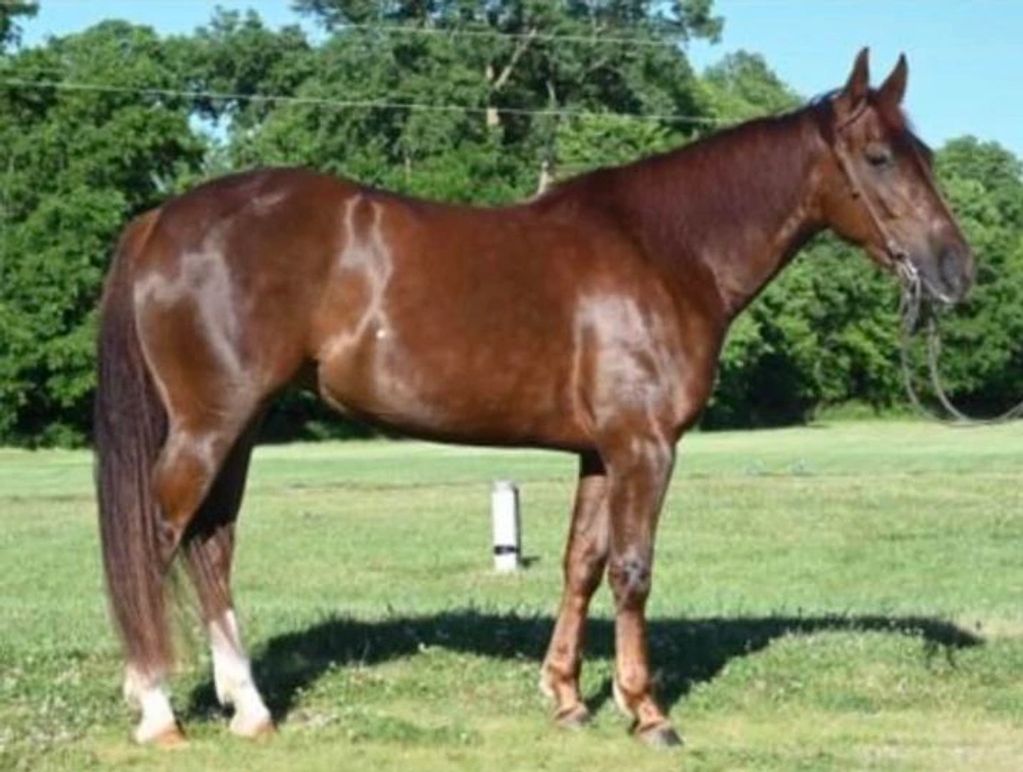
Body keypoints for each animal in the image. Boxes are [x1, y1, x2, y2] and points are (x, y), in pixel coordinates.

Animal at [94, 49, 973, 748]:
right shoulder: (644, 448)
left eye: (924, 152)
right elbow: (632, 570)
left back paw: (249, 709)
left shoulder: (599, 452)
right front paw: (645, 712)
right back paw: (157, 710)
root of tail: (161, 219)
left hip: (238, 429)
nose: (958, 269)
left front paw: (566, 699)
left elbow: (581, 565)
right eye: (878, 157)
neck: (665, 251)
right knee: (160, 537)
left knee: (211, 548)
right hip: (209, 429)